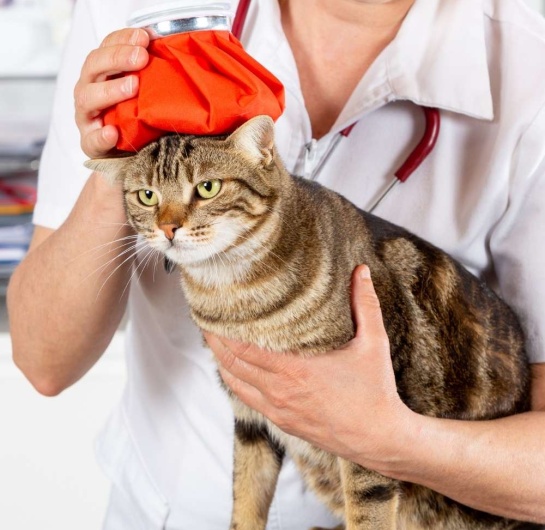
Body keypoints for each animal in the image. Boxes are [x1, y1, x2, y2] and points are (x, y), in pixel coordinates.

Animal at [85, 115, 540, 528]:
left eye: (207, 188)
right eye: (146, 196)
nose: (168, 228)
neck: (236, 299)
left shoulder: (369, 431)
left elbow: (368, 511)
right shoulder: (249, 417)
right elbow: (246, 497)